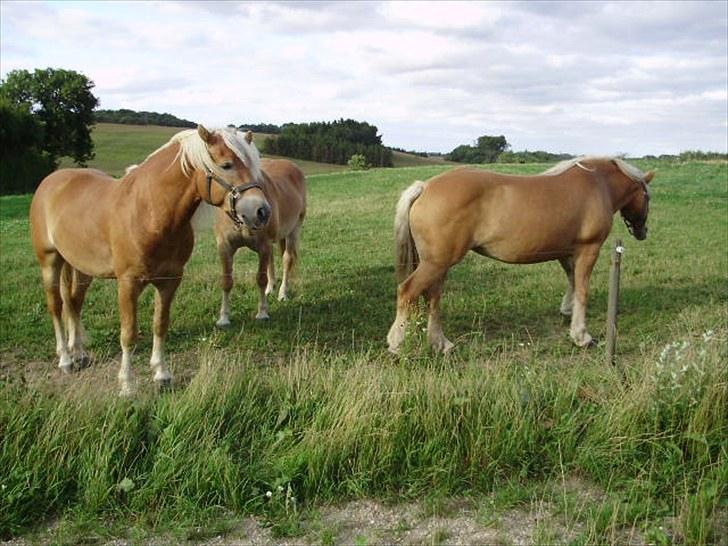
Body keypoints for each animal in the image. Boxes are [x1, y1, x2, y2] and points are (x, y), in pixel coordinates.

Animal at [30, 125, 270, 394]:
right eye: (227, 165)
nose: (262, 211)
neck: (149, 211)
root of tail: (51, 181)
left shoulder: (169, 281)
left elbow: (160, 324)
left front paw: (162, 373)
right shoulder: (128, 284)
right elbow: (128, 334)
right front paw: (127, 384)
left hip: (81, 269)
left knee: (73, 303)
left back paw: (79, 353)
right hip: (49, 261)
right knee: (56, 306)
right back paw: (65, 359)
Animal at [215, 134, 308, 326]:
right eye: (226, 166)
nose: (261, 212)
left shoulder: (264, 244)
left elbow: (261, 277)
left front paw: (262, 313)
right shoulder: (225, 247)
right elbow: (227, 281)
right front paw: (223, 318)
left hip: (294, 230)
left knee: (287, 259)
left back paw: (282, 293)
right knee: (271, 260)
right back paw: (270, 289)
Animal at [386, 156, 656, 352]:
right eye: (648, 197)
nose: (643, 231)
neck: (598, 184)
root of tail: (425, 187)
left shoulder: (567, 252)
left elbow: (571, 280)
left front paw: (567, 311)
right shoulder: (589, 249)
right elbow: (582, 289)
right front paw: (581, 335)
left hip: (439, 264)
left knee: (433, 297)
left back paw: (440, 343)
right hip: (436, 264)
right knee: (407, 292)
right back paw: (397, 343)